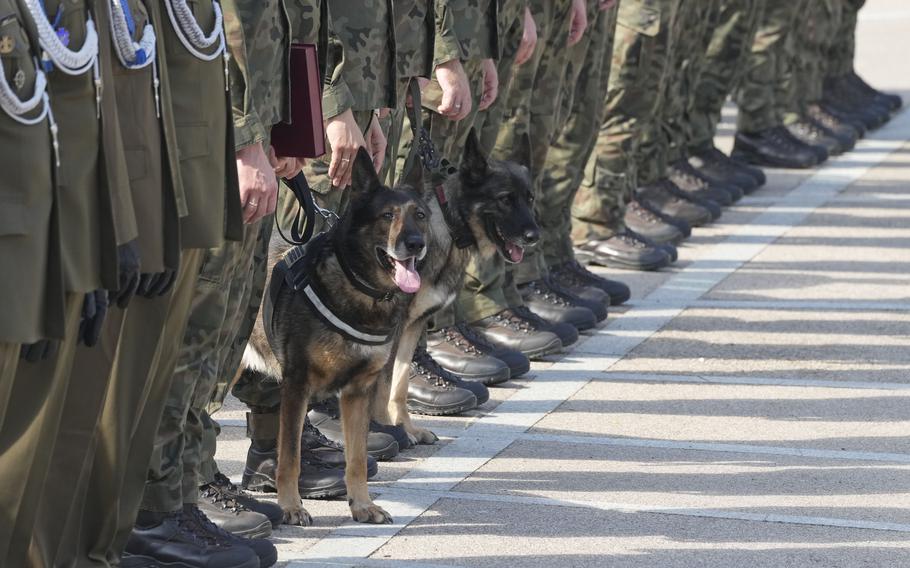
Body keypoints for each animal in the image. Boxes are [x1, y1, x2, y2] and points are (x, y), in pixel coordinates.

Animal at [244, 149, 432, 524]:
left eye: (419, 215)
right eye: (387, 215)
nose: (416, 244)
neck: (359, 285)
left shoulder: (357, 392)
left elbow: (356, 459)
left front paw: (362, 504)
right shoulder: (297, 385)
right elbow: (290, 457)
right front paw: (291, 505)